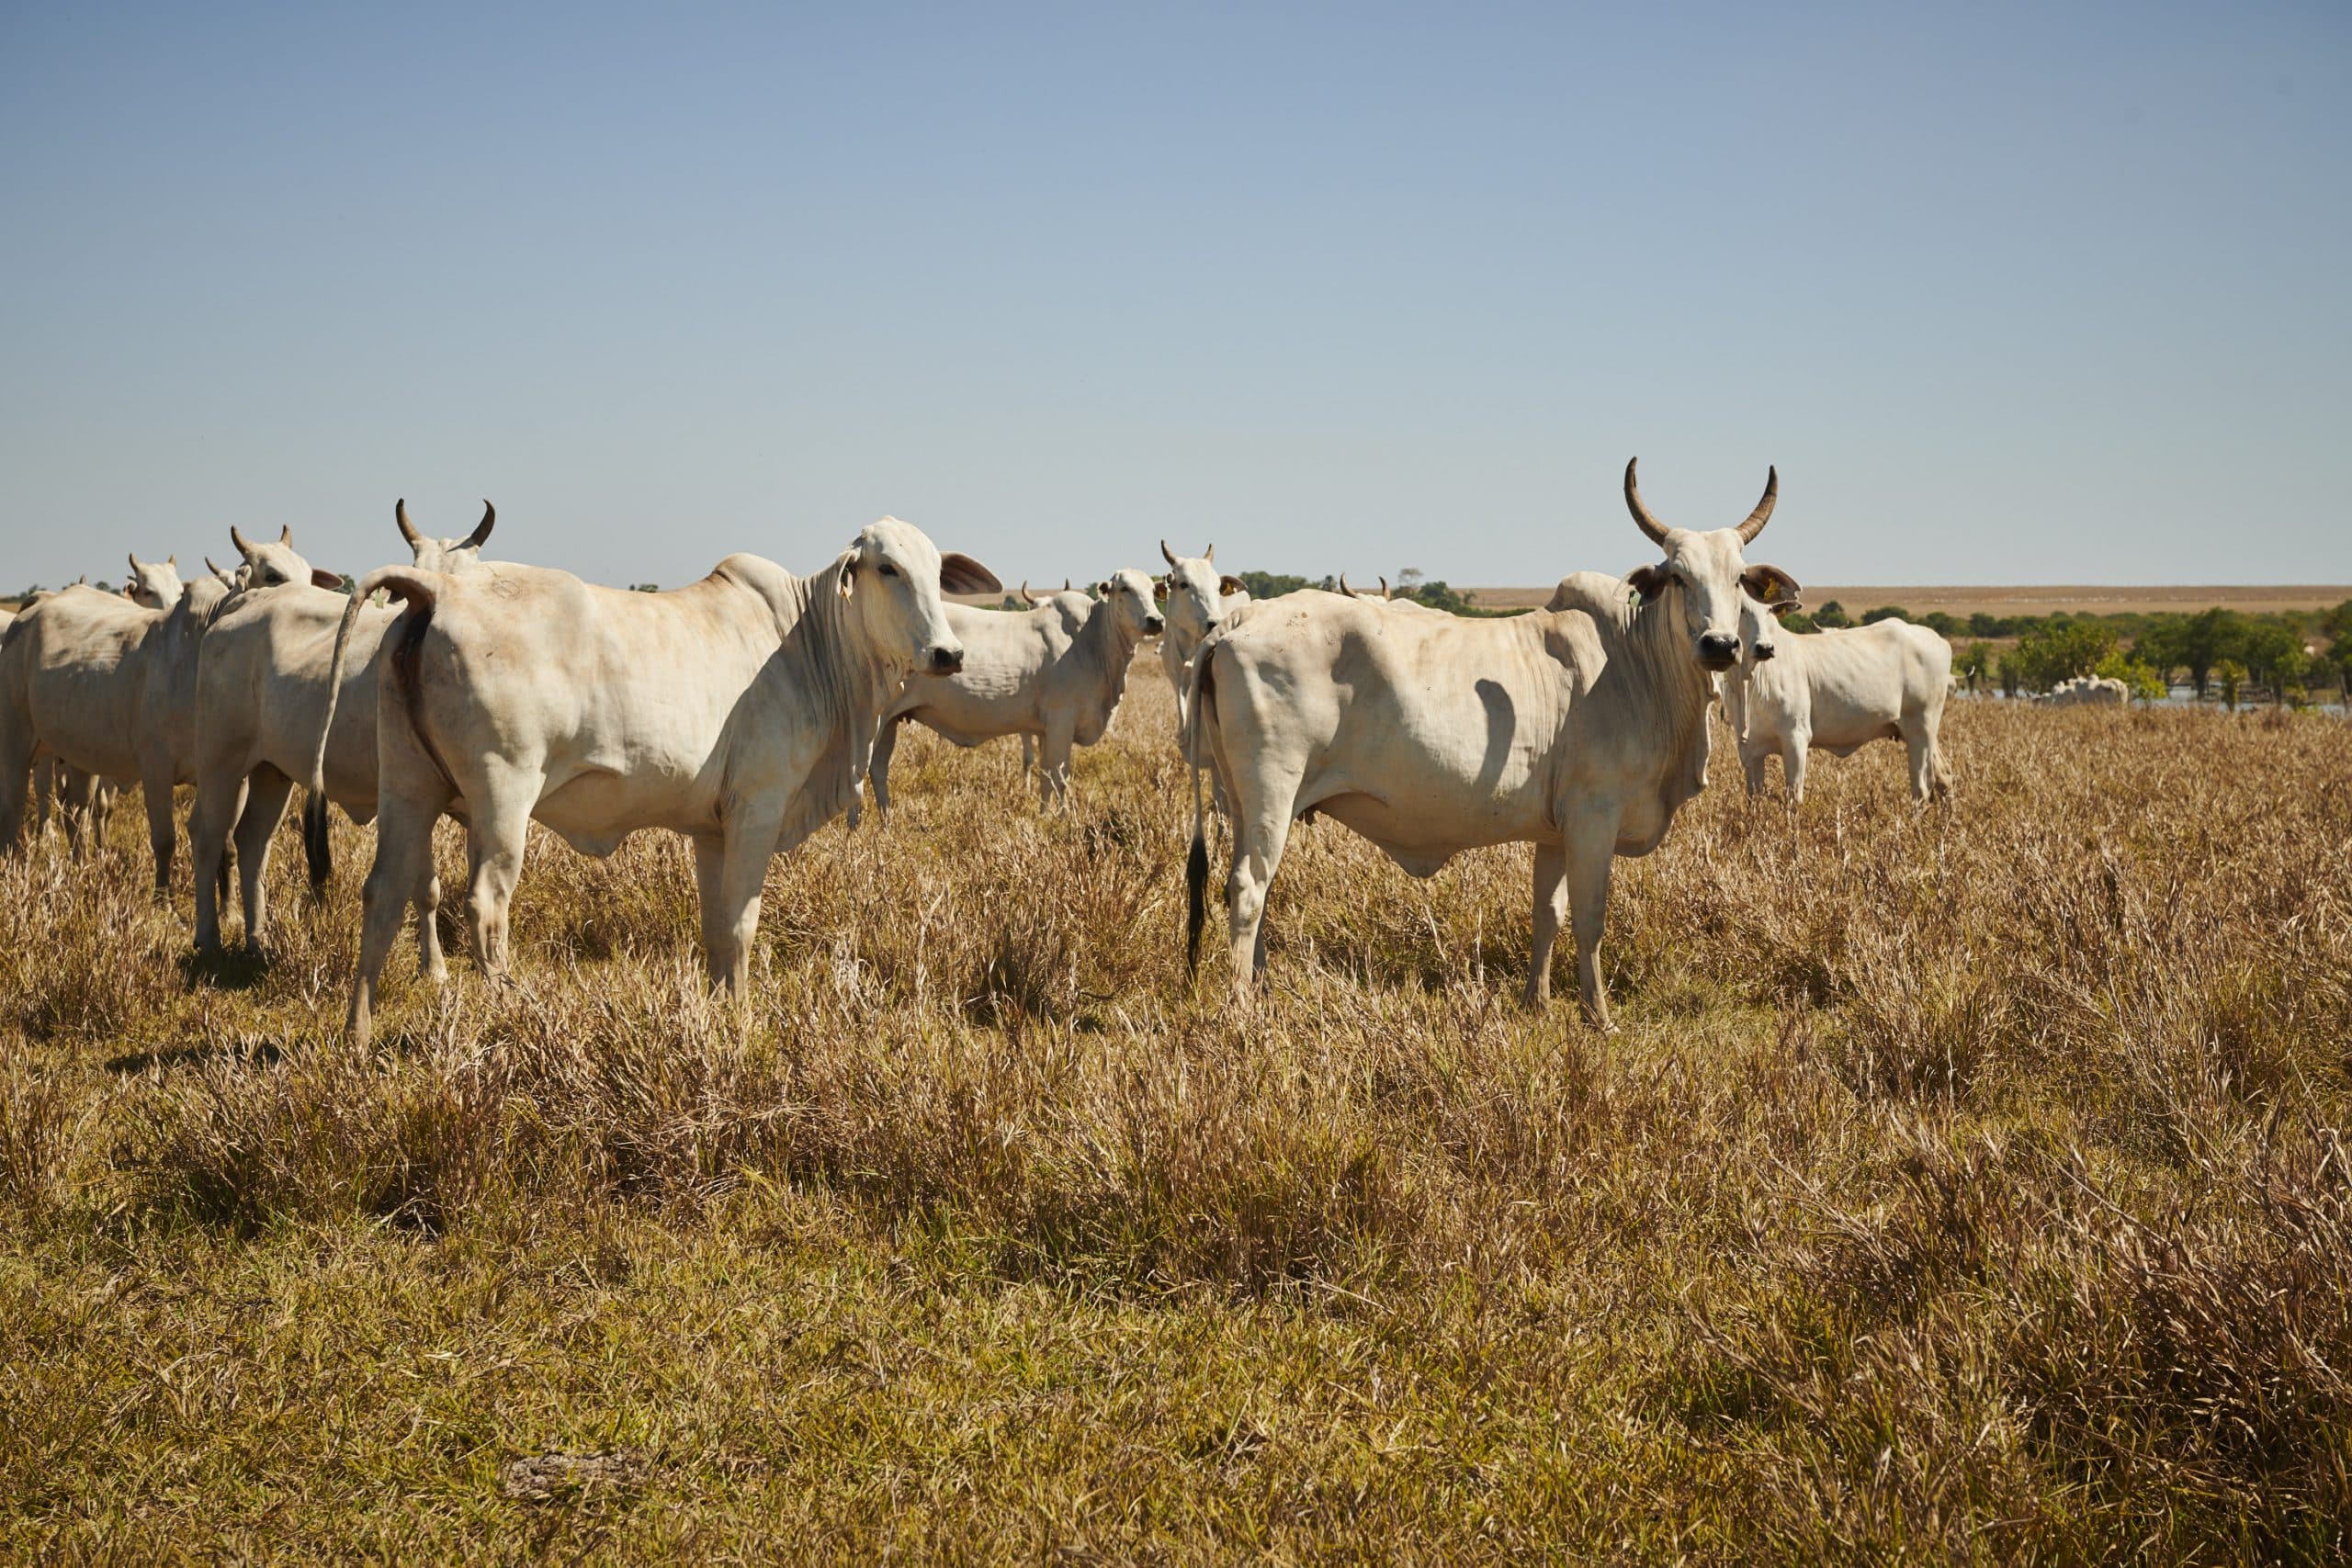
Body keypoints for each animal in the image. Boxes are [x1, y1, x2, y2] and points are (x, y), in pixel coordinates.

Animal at [190, 502, 498, 959]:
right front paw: (435, 967)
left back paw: (258, 940)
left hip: (272, 771)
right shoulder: (409, 794)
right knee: (207, 834)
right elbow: (426, 888)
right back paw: (209, 939)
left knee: (252, 841)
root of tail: (243, 603)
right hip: (219, 762)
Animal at [317, 522, 997, 1048]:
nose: (948, 653)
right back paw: (513, 1011)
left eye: (936, 572)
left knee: (382, 893)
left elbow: (718, 927)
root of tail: (441, 590)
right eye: (887, 568)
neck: (811, 643)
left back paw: (357, 1037)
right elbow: (743, 923)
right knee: (486, 905)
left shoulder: (713, 829)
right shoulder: (758, 809)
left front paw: (724, 1010)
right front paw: (743, 1021)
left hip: (408, 787)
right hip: (502, 793)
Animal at [870, 566, 1161, 808]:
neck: (1093, 637)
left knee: (878, 771)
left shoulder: (1044, 730)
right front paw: (1066, 819)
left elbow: (1046, 776)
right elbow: (1060, 776)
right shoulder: (1061, 721)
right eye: (1124, 588)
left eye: (1152, 589)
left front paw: (1045, 815)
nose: (1155, 620)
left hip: (890, 722)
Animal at [1194, 463, 1796, 1029]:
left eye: (1739, 578)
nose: (1720, 645)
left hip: (1245, 803)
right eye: (1677, 577)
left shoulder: (1556, 831)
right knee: (1249, 887)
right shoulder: (1594, 817)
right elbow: (1590, 917)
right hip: (1273, 793)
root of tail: (1239, 618)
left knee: (1251, 886)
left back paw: (1262, 991)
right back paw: (1242, 1008)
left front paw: (1539, 1002)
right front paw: (1597, 1015)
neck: (1633, 659)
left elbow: (1548, 912)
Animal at [1721, 592, 1956, 804]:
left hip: (1921, 727)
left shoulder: (1796, 737)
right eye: (1740, 609)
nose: (1765, 648)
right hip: (1916, 731)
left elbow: (1794, 798)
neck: (1748, 682)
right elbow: (1754, 798)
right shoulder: (1750, 750)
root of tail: (1940, 641)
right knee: (1944, 775)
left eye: (1770, 610)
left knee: (1922, 788)